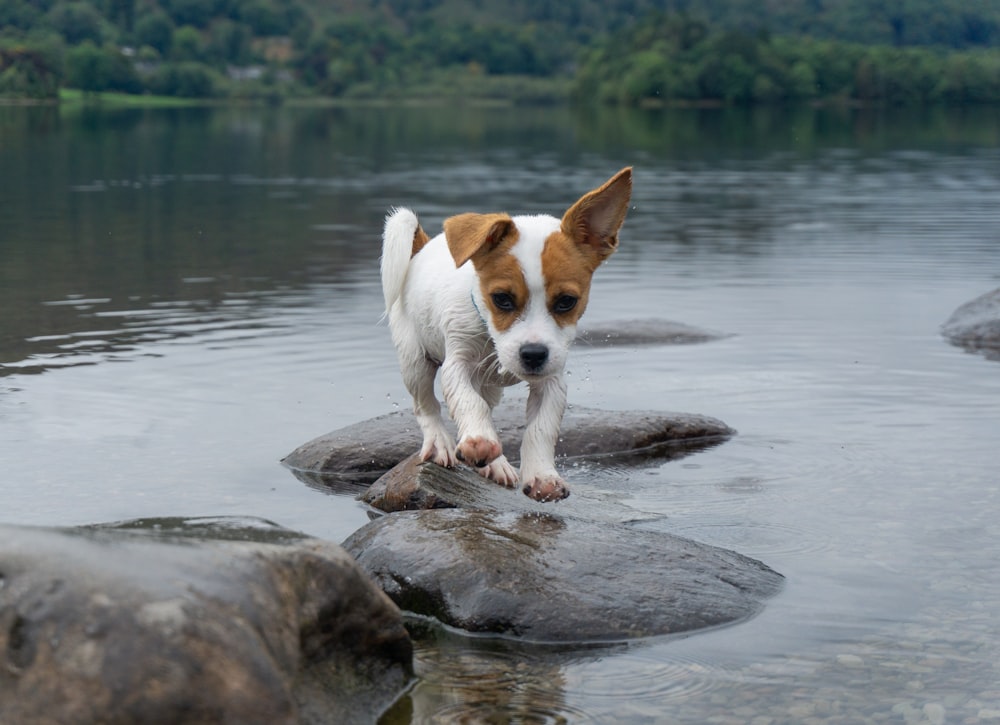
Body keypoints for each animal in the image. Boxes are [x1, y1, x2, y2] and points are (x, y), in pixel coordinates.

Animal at [378, 167, 628, 500]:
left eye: (567, 301)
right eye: (502, 299)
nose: (533, 354)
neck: (490, 336)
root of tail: (422, 248)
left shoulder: (552, 380)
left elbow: (541, 428)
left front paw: (542, 475)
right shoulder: (458, 365)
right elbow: (468, 402)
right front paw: (478, 441)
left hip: (489, 386)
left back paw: (495, 465)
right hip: (414, 361)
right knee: (426, 405)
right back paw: (442, 443)